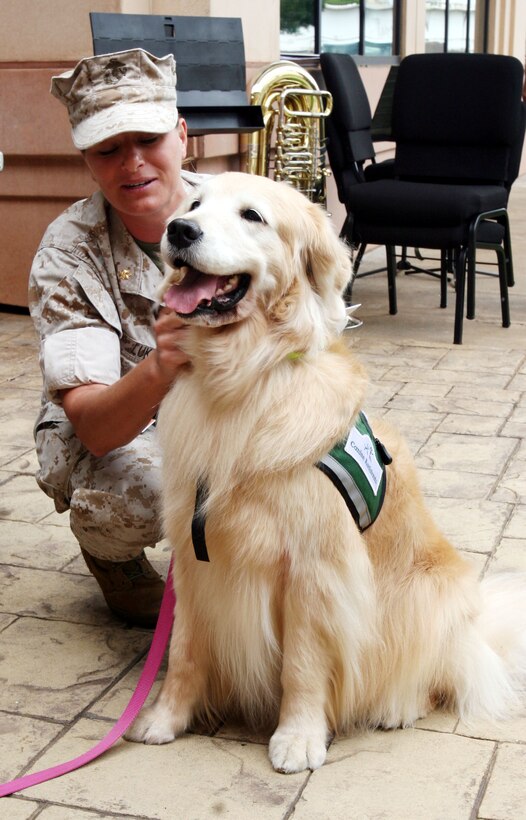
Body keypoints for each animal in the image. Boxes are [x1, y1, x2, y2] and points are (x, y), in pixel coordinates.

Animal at [127, 170, 526, 772]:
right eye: (193, 204)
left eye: (252, 215)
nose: (179, 230)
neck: (244, 380)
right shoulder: (195, 558)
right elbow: (184, 649)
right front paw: (166, 718)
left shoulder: (315, 568)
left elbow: (303, 664)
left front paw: (297, 738)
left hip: (430, 595)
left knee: (435, 671)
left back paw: (399, 706)